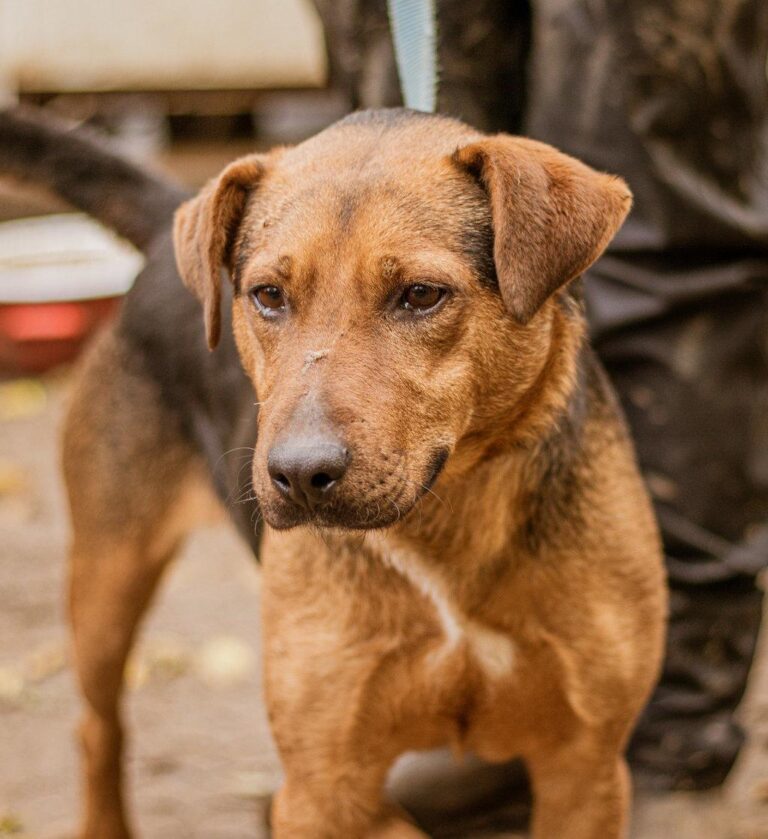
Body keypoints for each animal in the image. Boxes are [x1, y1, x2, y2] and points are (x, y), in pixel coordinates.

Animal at [0, 108, 664, 836]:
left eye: (421, 295)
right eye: (267, 295)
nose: (298, 474)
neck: (445, 525)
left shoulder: (585, 768)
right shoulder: (321, 783)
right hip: (107, 576)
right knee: (99, 728)